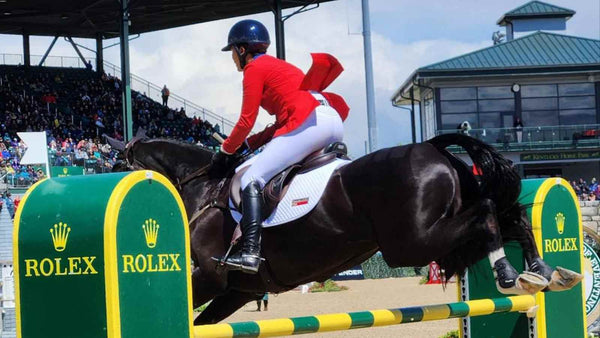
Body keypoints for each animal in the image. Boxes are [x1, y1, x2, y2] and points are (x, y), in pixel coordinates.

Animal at [108, 133, 580, 324]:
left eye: (113, 164)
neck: (204, 187)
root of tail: (435, 149)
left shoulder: (209, 275)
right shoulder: (236, 290)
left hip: (410, 243)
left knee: (486, 213)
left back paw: (509, 274)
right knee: (509, 215)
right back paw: (544, 272)